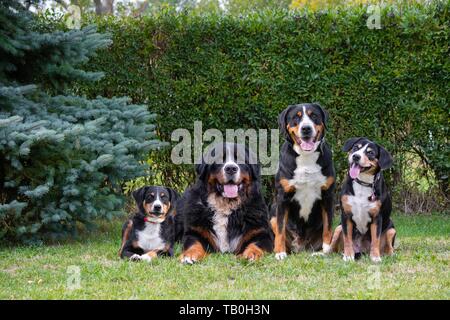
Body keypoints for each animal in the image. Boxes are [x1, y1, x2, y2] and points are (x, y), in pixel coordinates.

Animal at [268, 102, 336, 260]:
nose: (306, 128)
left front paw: (326, 250)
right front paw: (280, 253)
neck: (306, 158)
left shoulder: (328, 196)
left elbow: (328, 227)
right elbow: (280, 229)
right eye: (296, 117)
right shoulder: (282, 197)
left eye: (314, 115)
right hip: (273, 211)